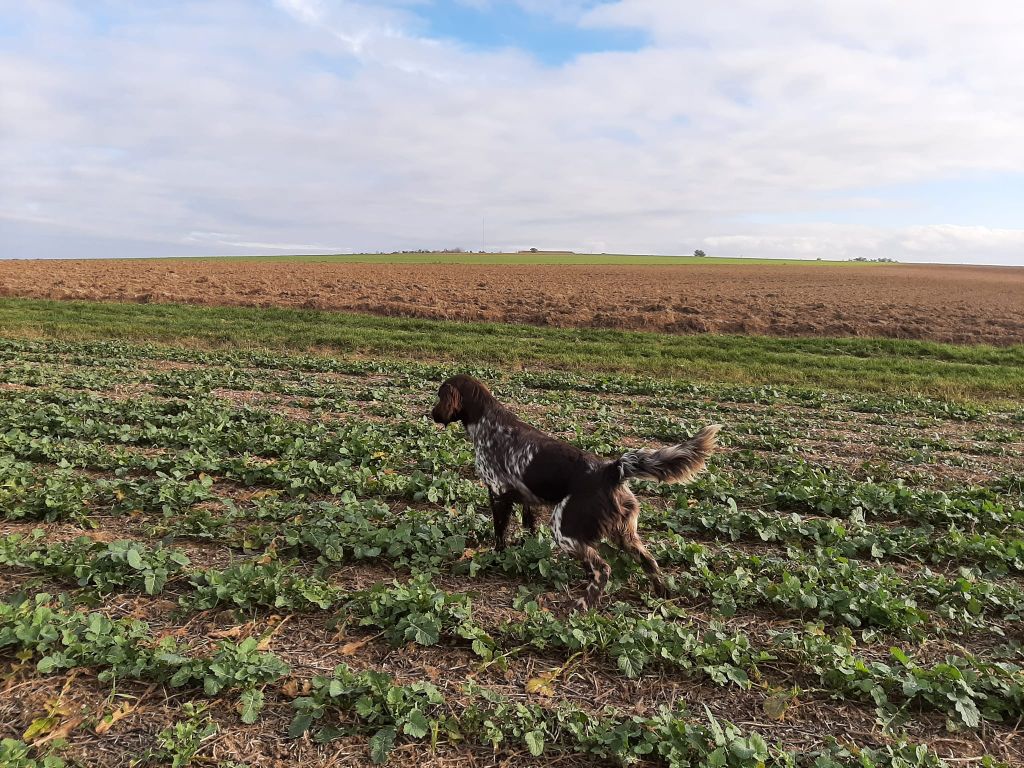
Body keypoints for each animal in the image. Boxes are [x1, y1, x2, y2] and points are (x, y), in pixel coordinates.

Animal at [430, 376, 720, 610]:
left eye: (439, 395)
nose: (430, 414)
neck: (487, 421)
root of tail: (611, 470)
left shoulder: (498, 493)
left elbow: (500, 533)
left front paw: (496, 557)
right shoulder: (526, 501)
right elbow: (528, 529)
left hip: (564, 529)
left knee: (602, 569)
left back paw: (581, 604)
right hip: (625, 533)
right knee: (649, 562)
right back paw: (662, 596)